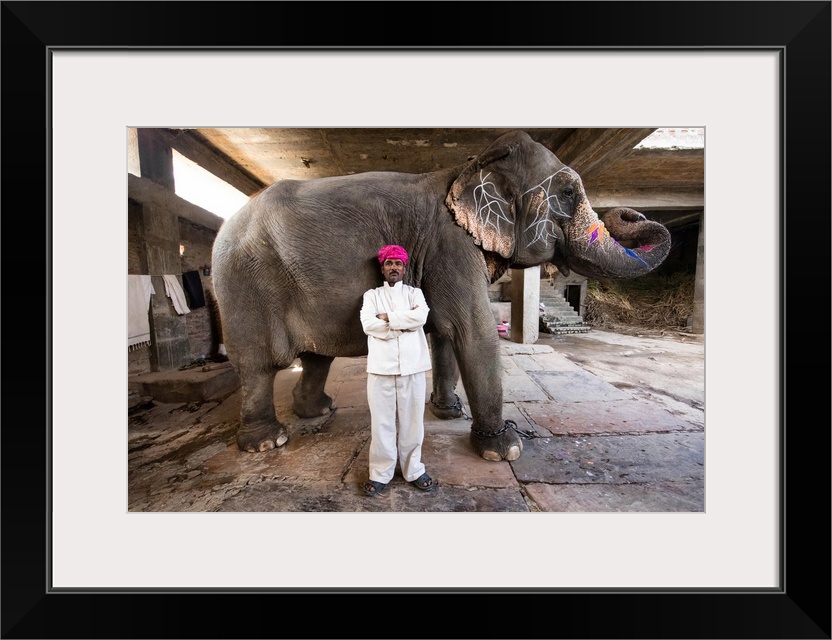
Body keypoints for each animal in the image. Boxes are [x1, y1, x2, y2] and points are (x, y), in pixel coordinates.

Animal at [211, 130, 672, 460]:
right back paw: (267, 442)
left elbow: (445, 333)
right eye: (568, 193)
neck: (467, 167)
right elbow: (473, 330)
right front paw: (503, 450)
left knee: (315, 357)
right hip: (245, 283)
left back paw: (318, 410)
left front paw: (449, 413)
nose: (631, 212)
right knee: (259, 365)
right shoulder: (450, 246)